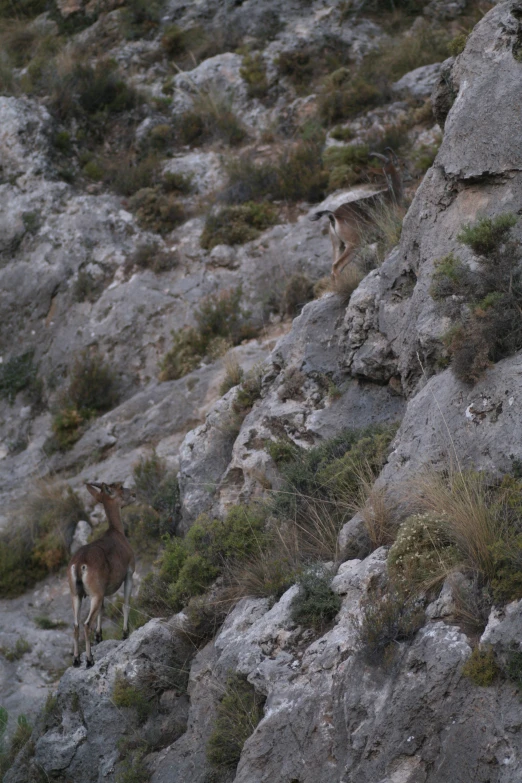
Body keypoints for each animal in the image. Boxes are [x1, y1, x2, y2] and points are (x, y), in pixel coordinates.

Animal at [68, 484, 135, 668]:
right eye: (120, 488)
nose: (134, 494)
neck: (117, 532)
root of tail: (79, 565)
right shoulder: (129, 573)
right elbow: (126, 603)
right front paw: (125, 633)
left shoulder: (103, 589)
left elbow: (102, 610)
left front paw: (99, 636)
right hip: (94, 594)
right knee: (85, 624)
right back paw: (89, 659)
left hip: (76, 594)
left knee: (76, 624)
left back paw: (76, 659)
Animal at [308, 149, 402, 280]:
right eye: (401, 163)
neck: (392, 194)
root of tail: (334, 216)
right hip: (354, 244)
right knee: (337, 266)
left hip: (338, 245)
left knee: (333, 267)